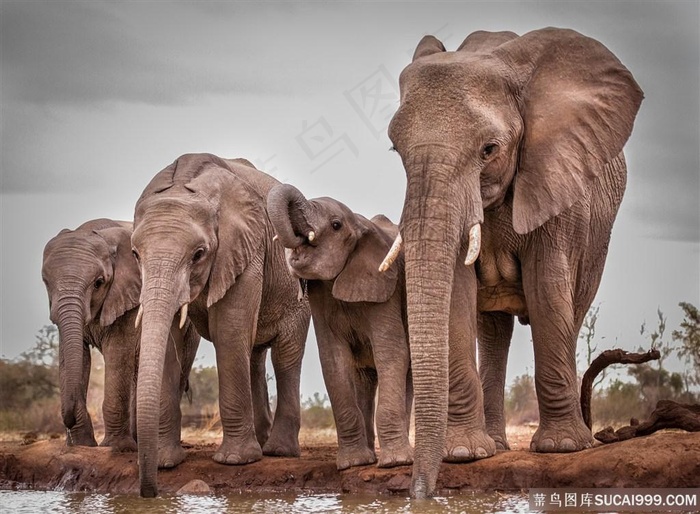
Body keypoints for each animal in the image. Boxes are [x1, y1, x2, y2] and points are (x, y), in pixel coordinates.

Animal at [42, 216, 198, 464]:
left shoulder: (130, 298)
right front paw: (81, 446)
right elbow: (73, 356)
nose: (68, 420)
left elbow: (118, 352)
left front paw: (115, 448)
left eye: (98, 282)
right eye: (46, 282)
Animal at [131, 153, 308, 496]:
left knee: (285, 357)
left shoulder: (245, 249)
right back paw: (262, 442)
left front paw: (235, 462)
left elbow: (229, 329)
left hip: (299, 295)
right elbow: (170, 338)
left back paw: (277, 451)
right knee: (254, 355)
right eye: (134, 254)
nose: (150, 493)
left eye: (199, 254)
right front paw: (165, 463)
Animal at [266, 182, 410, 466]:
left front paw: (396, 462)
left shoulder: (383, 287)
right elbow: (334, 360)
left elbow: (392, 352)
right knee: (364, 377)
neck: (359, 222)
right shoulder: (320, 297)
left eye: (335, 225)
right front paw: (354, 463)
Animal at [380, 28, 644, 496]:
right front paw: (465, 454)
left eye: (489, 149)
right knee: (493, 329)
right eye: (396, 150)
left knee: (571, 312)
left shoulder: (559, 182)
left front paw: (562, 449)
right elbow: (457, 294)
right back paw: (495, 447)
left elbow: (547, 289)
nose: (417, 494)